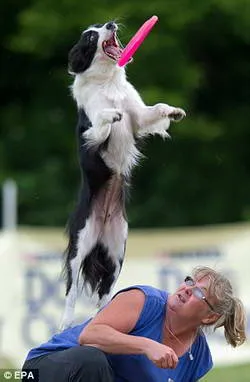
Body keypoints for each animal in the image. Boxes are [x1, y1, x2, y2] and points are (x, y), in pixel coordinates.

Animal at [60, 20, 186, 328]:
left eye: (101, 25)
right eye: (90, 36)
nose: (111, 24)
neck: (107, 81)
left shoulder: (138, 117)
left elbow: (156, 110)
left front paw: (174, 111)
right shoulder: (92, 139)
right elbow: (103, 120)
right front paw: (110, 114)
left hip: (117, 254)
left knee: (106, 295)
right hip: (80, 246)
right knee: (71, 291)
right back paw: (66, 323)